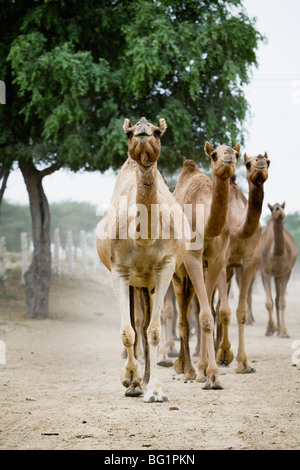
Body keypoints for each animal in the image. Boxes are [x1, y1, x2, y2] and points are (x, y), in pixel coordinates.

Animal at [97, 117, 189, 404]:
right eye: (128, 133)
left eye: (158, 132)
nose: (142, 128)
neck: (144, 237)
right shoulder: (119, 270)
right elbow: (128, 332)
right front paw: (131, 381)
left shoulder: (165, 267)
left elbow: (154, 331)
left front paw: (156, 391)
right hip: (137, 282)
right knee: (138, 323)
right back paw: (140, 378)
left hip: (149, 282)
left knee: (149, 321)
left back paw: (148, 377)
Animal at [171, 140, 239, 390]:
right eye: (214, 154)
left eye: (236, 151)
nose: (229, 156)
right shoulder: (192, 257)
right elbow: (205, 316)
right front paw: (211, 376)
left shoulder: (217, 259)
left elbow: (206, 312)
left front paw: (209, 373)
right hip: (177, 274)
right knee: (182, 320)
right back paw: (186, 370)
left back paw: (195, 370)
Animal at [260, 202, 298, 338]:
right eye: (271, 208)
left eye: (283, 206)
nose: (279, 210)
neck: (277, 253)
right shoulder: (264, 272)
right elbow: (268, 303)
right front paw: (270, 329)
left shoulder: (287, 271)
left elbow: (282, 302)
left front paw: (285, 332)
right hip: (274, 275)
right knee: (274, 300)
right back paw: (276, 329)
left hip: (278, 276)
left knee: (278, 299)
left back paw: (280, 330)